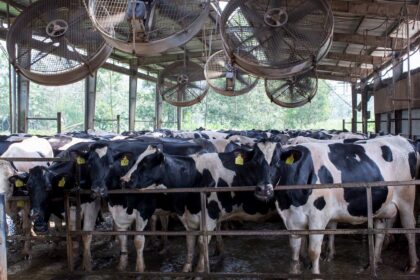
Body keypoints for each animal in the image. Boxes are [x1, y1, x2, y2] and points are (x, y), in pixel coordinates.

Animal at [254, 136, 418, 276]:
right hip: (380, 204)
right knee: (379, 233)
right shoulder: (291, 217)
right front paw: (295, 272)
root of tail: (403, 139)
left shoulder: (318, 216)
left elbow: (314, 251)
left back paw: (411, 265)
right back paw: (373, 264)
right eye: (254, 162)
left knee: (409, 229)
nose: (263, 189)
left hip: (406, 199)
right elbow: (294, 250)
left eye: (277, 162)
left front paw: (315, 274)